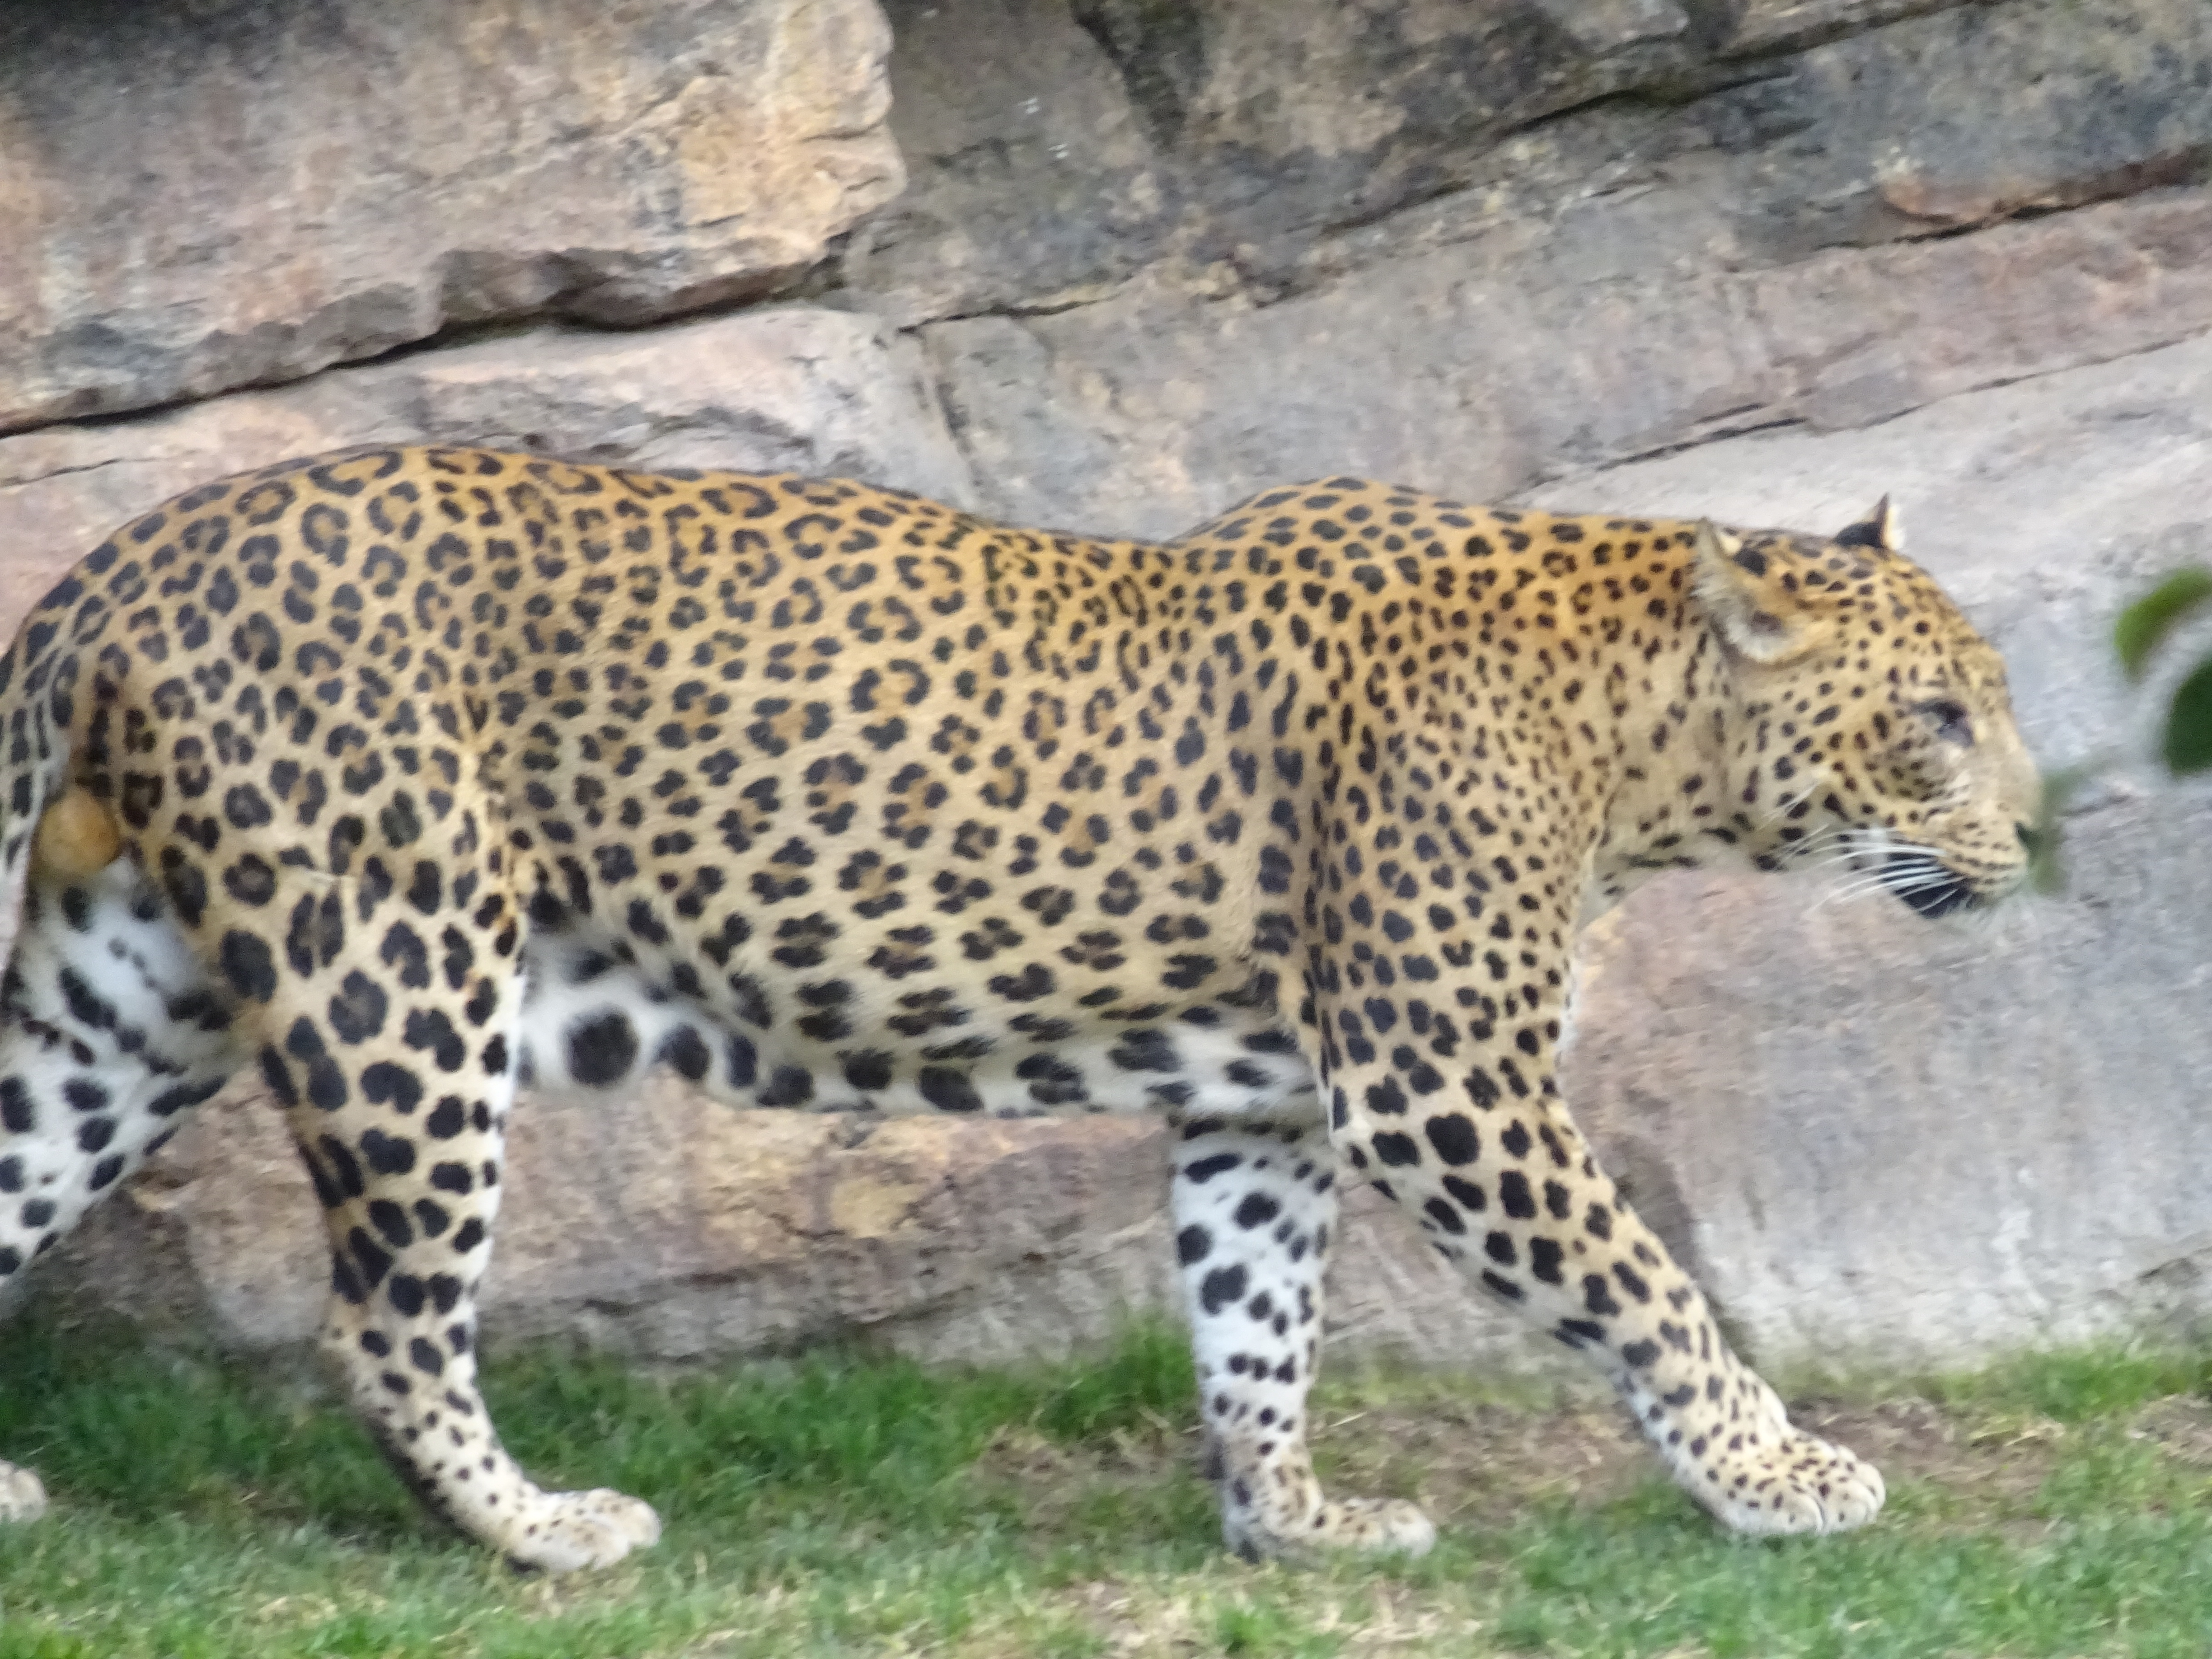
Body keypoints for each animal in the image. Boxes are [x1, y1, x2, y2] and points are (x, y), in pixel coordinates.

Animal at [0, 446, 2040, 1570]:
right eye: (1935, 719)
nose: (2035, 831)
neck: (1636, 748)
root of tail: (122, 563)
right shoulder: (1439, 1080)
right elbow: (1644, 1283)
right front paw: (1776, 1476)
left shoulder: (1267, 1102)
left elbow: (1253, 1317)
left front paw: (1287, 1524)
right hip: (400, 971)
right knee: (384, 1326)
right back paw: (546, 1532)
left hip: (121, 1011)